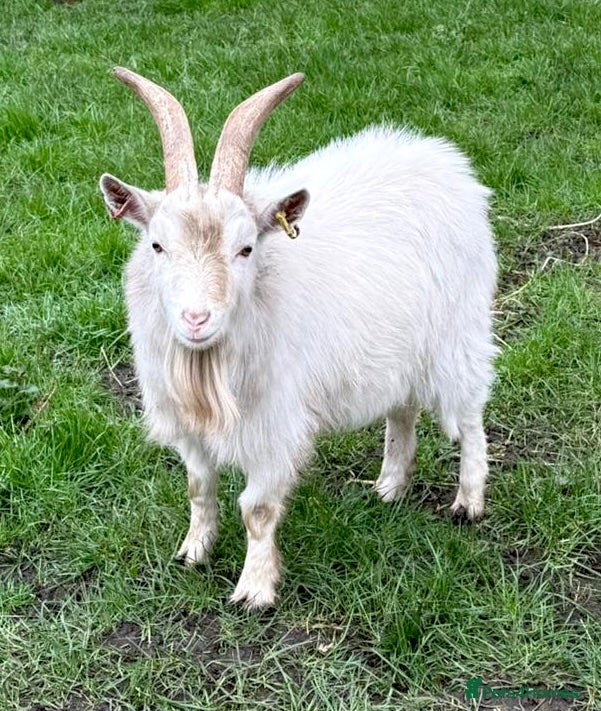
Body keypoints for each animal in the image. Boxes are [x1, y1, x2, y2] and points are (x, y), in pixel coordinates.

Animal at [99, 68, 497, 609]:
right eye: (157, 245)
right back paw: (390, 486)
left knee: (470, 414)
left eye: (245, 248)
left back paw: (468, 502)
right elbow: (199, 487)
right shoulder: (188, 427)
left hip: (459, 333)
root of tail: (444, 161)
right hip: (398, 347)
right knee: (402, 407)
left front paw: (254, 590)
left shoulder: (275, 425)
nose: (196, 319)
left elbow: (258, 509)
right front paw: (193, 553)